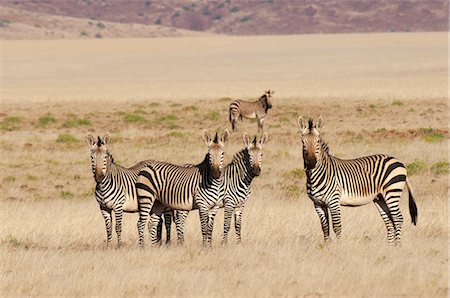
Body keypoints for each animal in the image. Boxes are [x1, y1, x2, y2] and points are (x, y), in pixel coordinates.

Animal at [296, 116, 418, 244]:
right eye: (302, 142)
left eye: (318, 142)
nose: (311, 162)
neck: (315, 176)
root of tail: (399, 161)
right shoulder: (318, 204)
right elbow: (325, 228)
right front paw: (326, 246)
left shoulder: (334, 201)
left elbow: (337, 227)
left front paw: (339, 246)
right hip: (380, 198)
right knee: (389, 221)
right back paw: (389, 246)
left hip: (392, 192)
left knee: (397, 218)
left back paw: (397, 246)